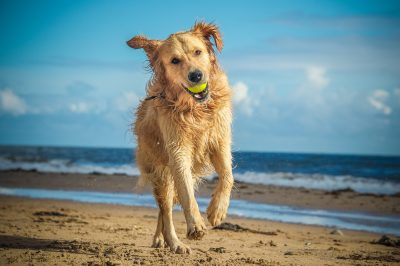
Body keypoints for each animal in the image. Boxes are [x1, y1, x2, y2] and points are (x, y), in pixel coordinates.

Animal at [127, 21, 234, 254]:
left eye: (198, 52)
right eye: (175, 60)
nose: (196, 76)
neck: (195, 108)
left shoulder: (219, 140)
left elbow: (228, 176)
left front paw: (217, 211)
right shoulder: (177, 151)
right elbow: (187, 194)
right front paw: (196, 225)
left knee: (164, 208)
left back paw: (161, 239)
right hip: (162, 172)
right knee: (166, 209)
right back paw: (174, 242)